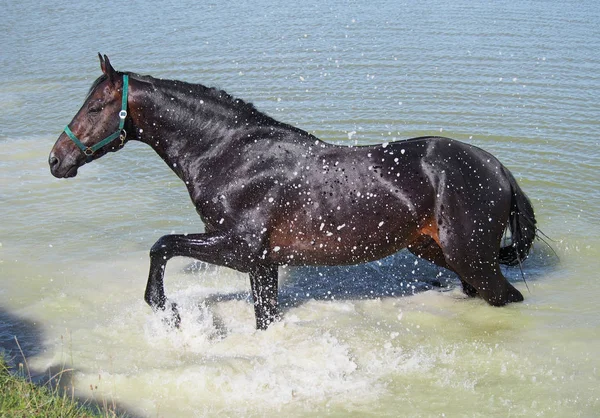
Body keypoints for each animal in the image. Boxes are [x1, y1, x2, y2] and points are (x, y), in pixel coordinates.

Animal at [48, 54, 536, 330]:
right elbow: (264, 317)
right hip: (442, 253)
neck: (229, 153)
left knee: (509, 298)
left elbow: (162, 245)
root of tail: (498, 170)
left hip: (472, 258)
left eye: (95, 106)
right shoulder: (262, 262)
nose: (56, 159)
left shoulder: (238, 248)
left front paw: (164, 309)